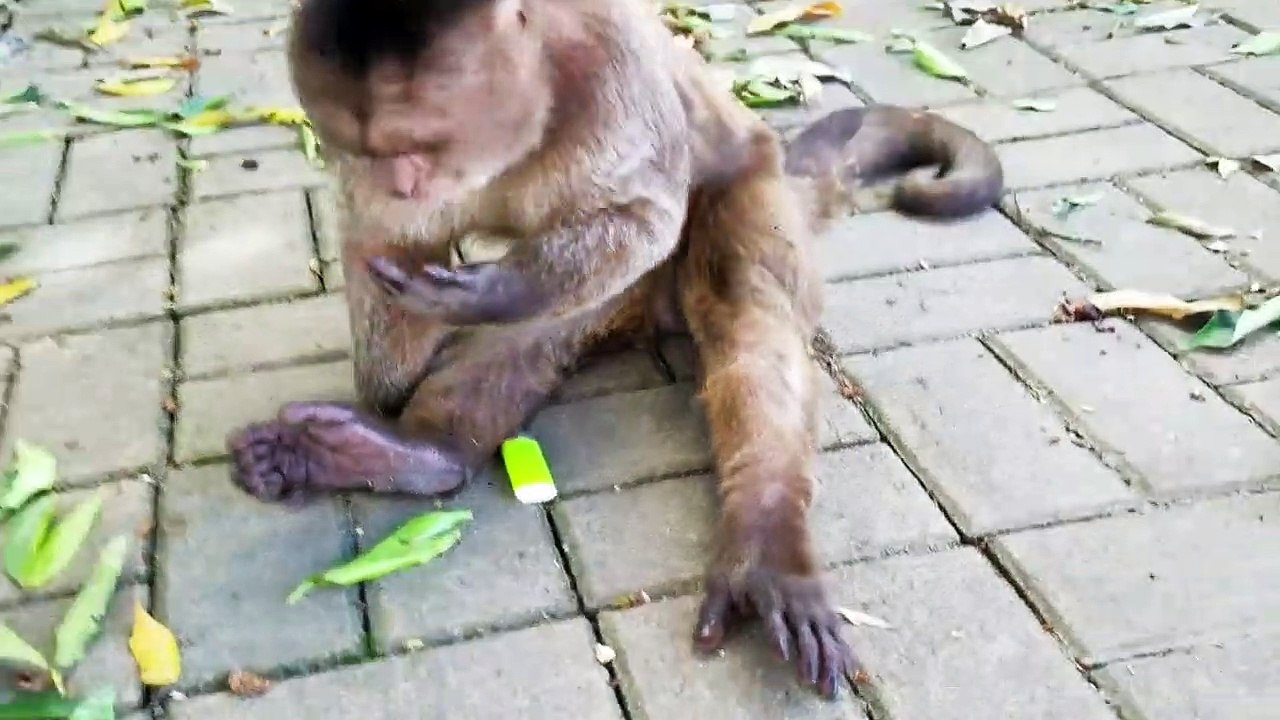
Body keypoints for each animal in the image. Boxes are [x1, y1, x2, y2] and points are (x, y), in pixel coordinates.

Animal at [226, 0, 1002, 699]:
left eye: (418, 144)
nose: (401, 180)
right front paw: (388, 391)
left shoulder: (609, 76)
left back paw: (765, 530)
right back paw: (409, 452)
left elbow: (645, 221)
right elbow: (380, 241)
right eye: (370, 149)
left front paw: (490, 294)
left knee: (744, 312)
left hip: (752, 190)